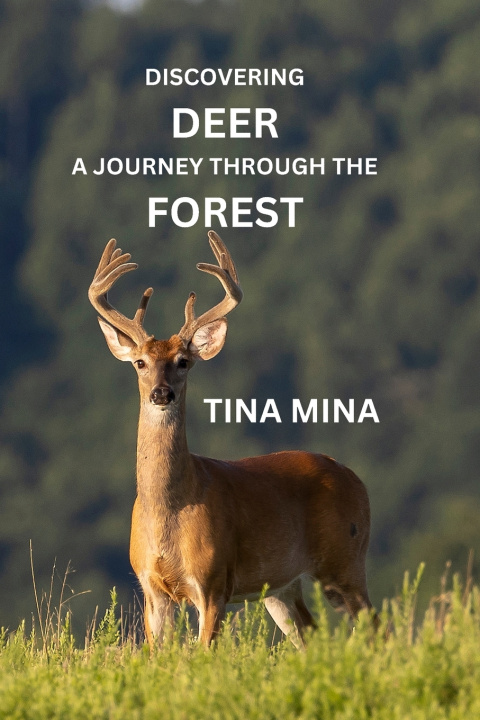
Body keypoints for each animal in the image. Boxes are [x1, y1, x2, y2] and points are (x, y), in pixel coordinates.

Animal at [88, 230, 375, 648]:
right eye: (140, 362)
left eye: (184, 362)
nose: (161, 393)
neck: (170, 510)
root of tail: (357, 480)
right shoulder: (152, 588)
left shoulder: (213, 581)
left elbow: (205, 652)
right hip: (281, 586)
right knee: (309, 634)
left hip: (346, 560)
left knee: (378, 625)